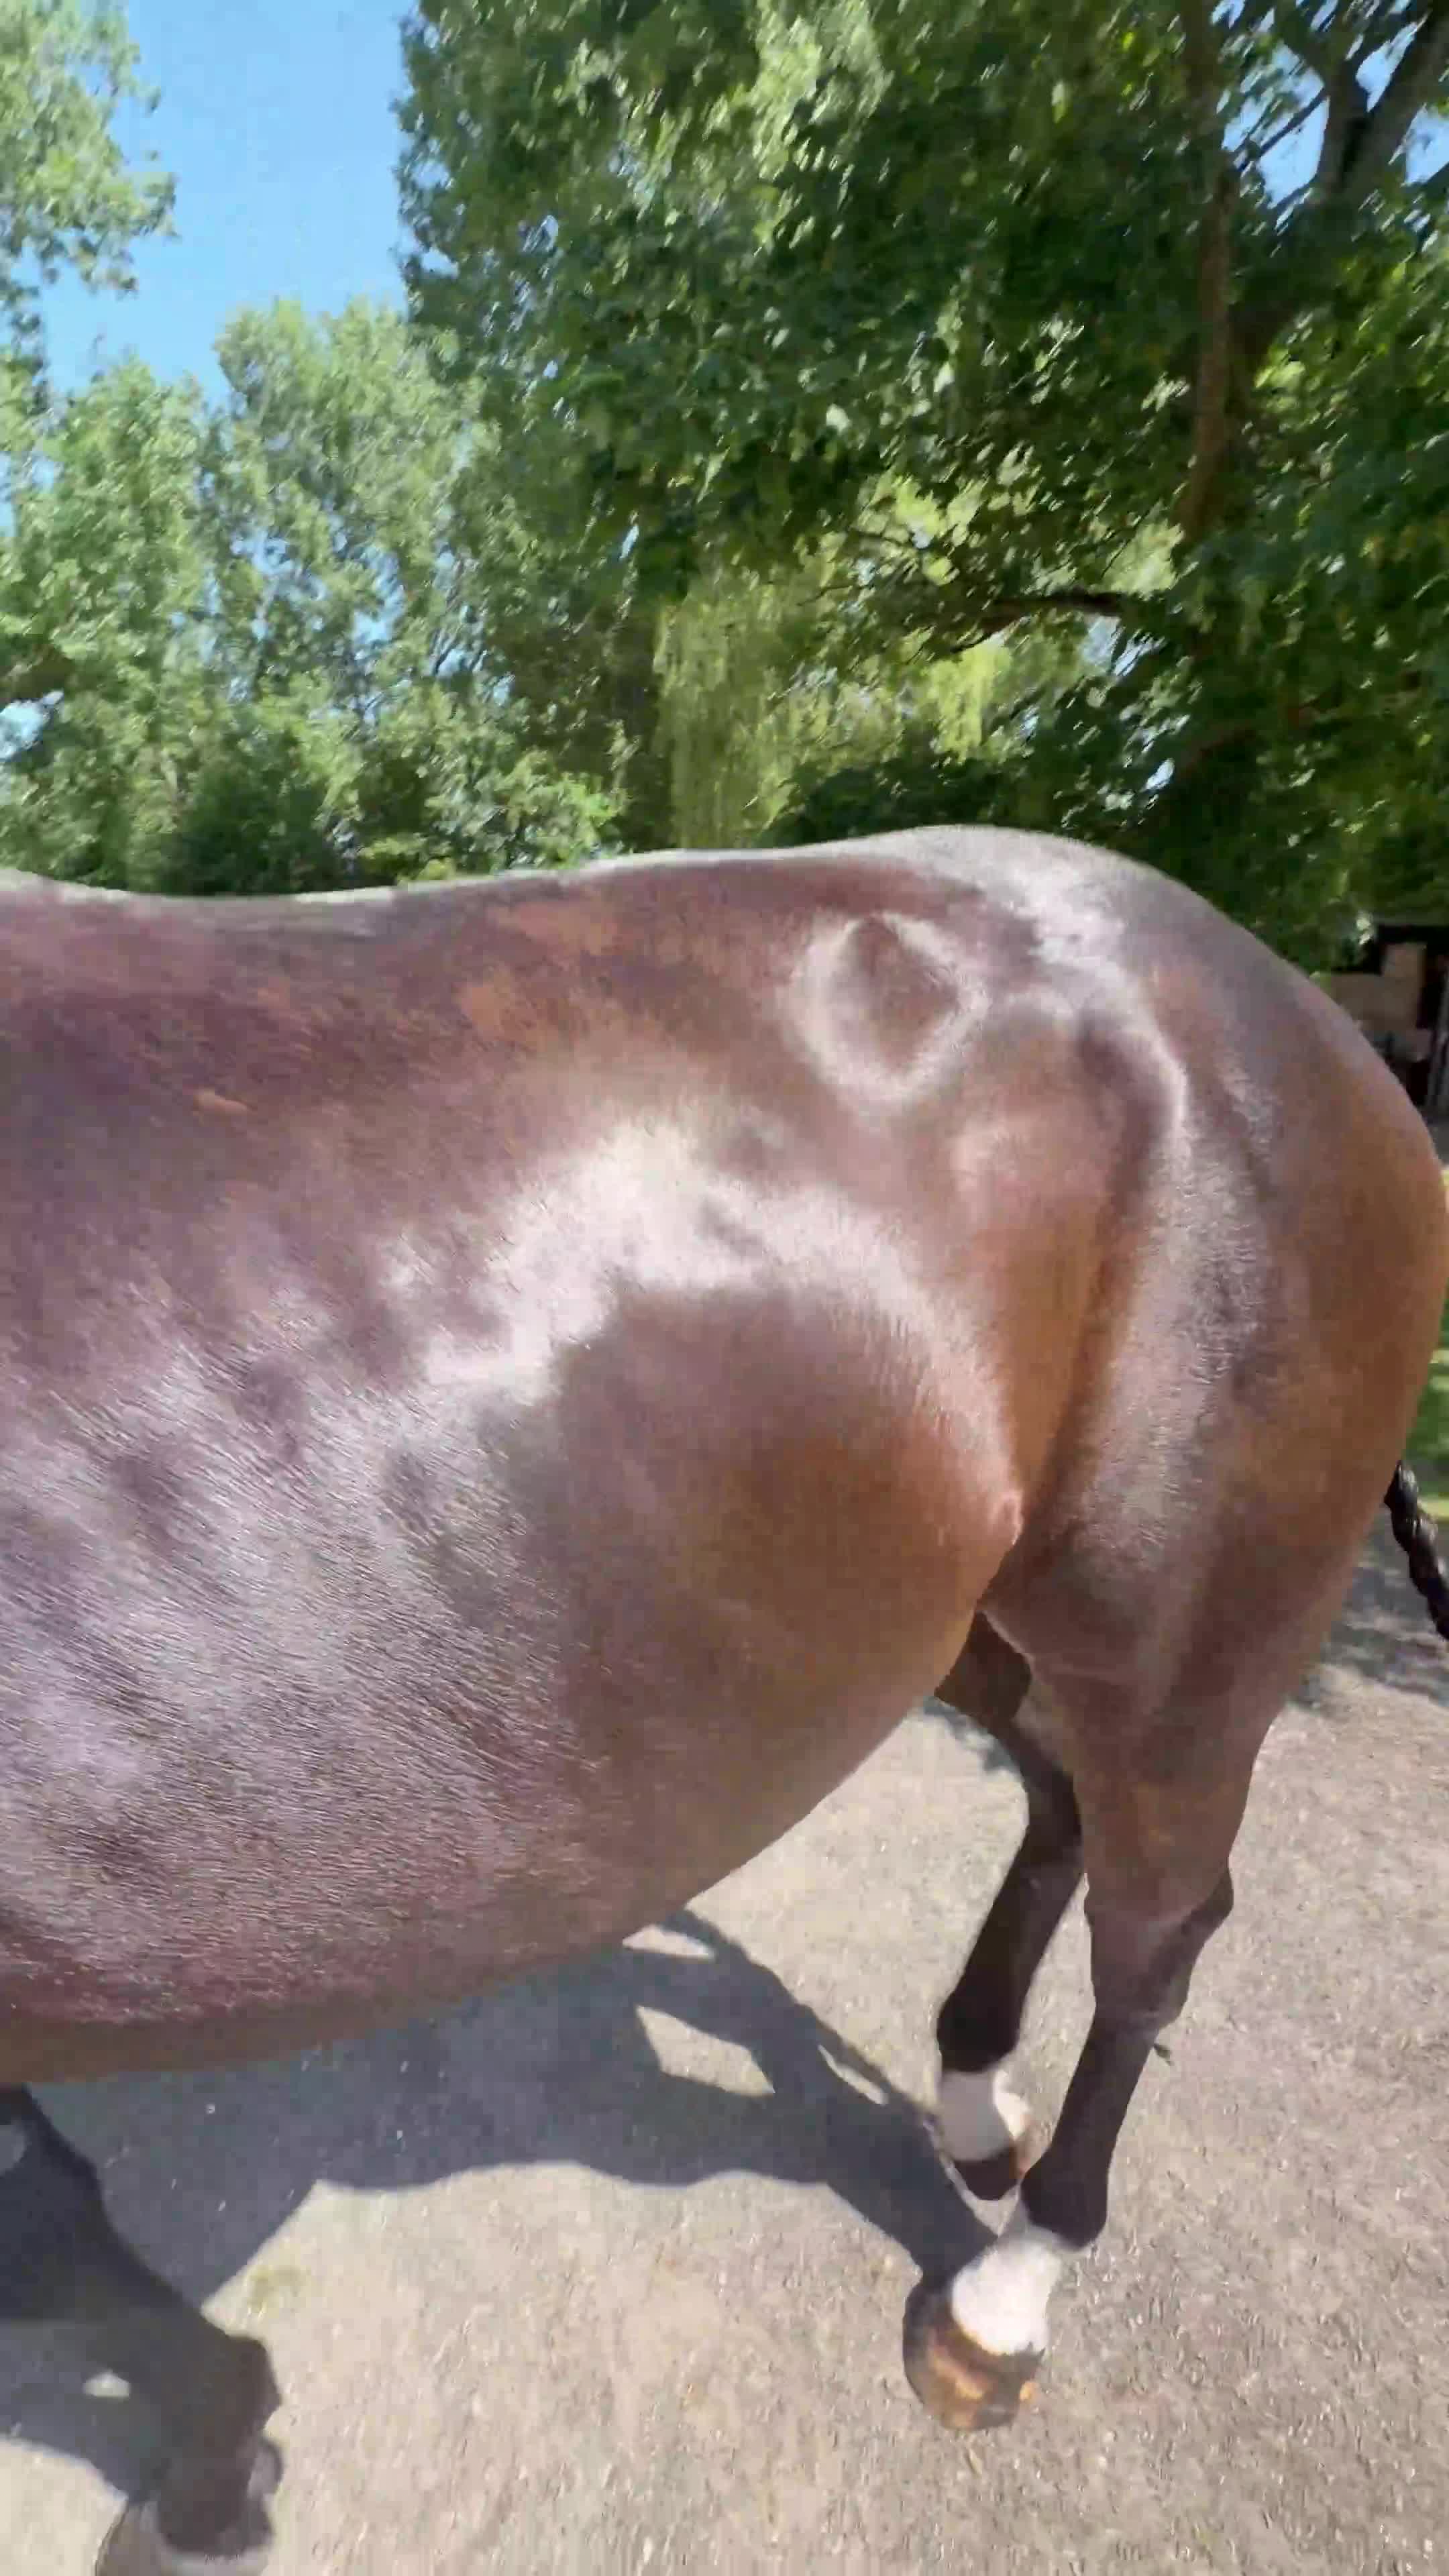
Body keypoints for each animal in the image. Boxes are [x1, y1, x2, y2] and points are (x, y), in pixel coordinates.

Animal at [1, 826, 1444, 2576]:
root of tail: (1316, 1026)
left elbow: (45, 2243)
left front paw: (213, 2469)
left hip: (1179, 1640)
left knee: (1157, 1930)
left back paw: (1007, 2295)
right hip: (954, 1606)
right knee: (1058, 1802)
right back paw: (973, 2100)